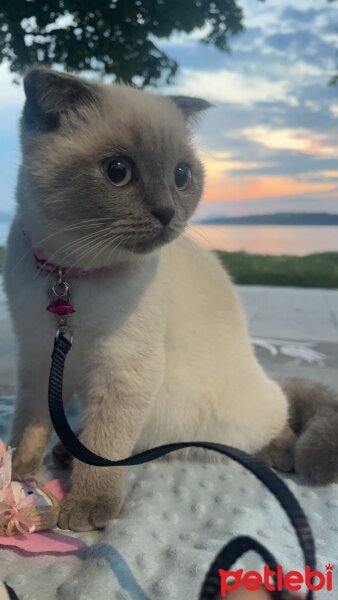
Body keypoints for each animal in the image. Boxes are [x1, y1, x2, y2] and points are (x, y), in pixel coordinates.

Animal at [4, 68, 338, 532]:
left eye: (181, 176)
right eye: (118, 171)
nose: (166, 213)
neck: (66, 274)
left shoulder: (123, 372)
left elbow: (104, 447)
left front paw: (87, 508)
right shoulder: (39, 355)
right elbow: (31, 422)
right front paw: (17, 470)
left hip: (224, 413)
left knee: (280, 412)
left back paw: (282, 453)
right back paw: (64, 454)